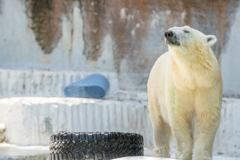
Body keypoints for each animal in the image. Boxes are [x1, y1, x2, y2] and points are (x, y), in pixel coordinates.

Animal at [148, 25, 223, 159]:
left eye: (186, 30)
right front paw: (183, 155)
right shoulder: (178, 86)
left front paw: (201, 157)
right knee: (159, 123)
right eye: (171, 28)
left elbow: (207, 116)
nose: (168, 33)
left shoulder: (208, 86)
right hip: (155, 91)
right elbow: (179, 117)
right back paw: (160, 154)